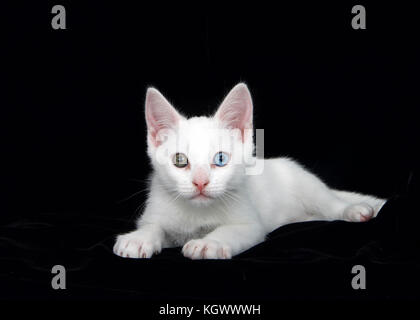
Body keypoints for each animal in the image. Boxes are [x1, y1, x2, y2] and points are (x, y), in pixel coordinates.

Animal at [113, 83, 386, 260]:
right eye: (180, 161)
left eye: (220, 159)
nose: (200, 183)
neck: (197, 215)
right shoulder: (157, 211)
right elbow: (153, 226)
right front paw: (139, 238)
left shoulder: (250, 223)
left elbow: (233, 230)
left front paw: (209, 243)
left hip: (307, 185)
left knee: (330, 203)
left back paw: (353, 210)